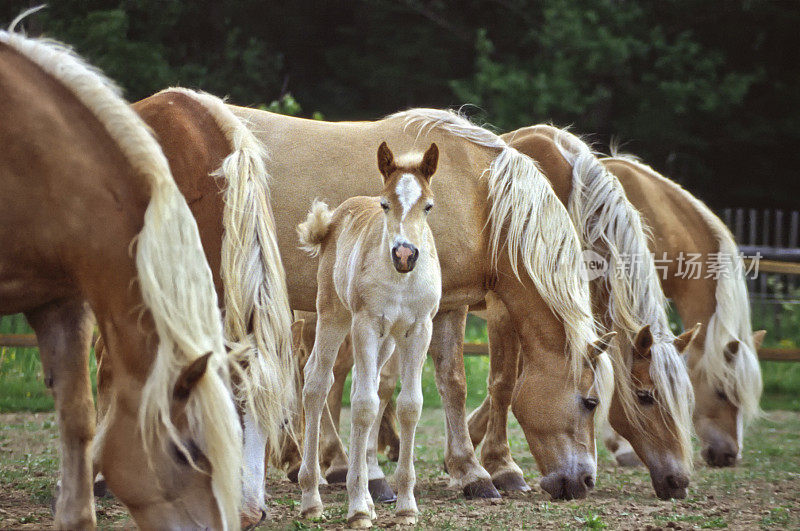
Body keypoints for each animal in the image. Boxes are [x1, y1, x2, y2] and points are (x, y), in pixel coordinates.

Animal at [134, 97, 616, 500]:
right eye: (590, 402)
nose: (585, 481)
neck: (477, 197)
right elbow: (381, 388)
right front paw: (377, 476)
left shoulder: (447, 306)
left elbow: (452, 383)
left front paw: (470, 472)